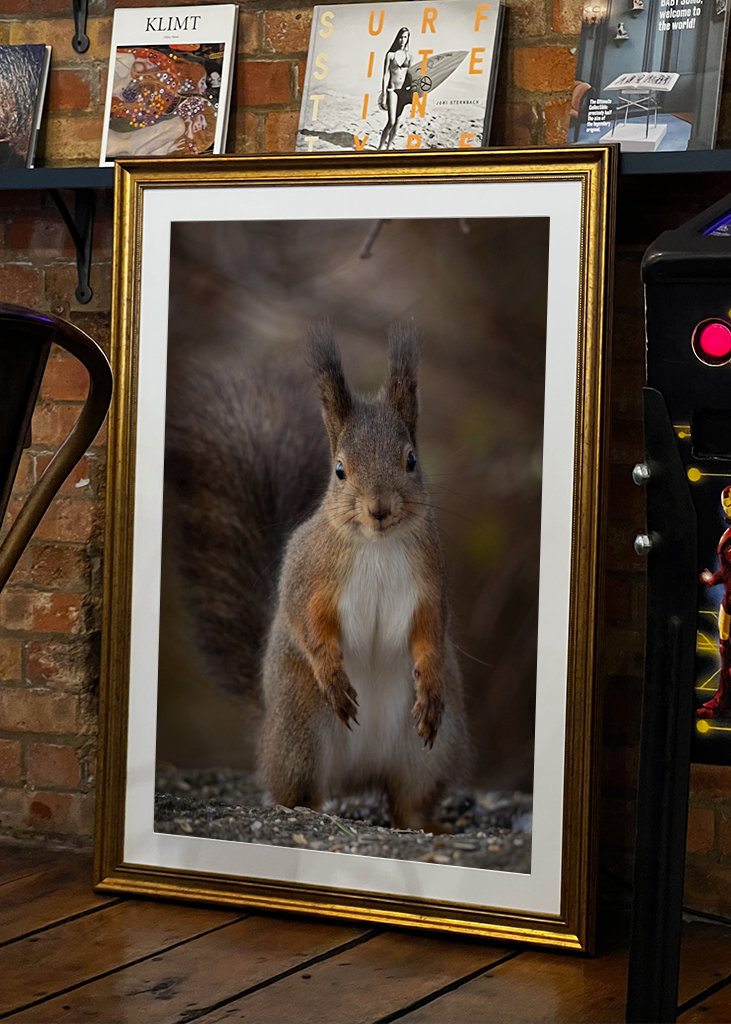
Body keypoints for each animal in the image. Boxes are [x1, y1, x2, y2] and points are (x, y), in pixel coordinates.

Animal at [258, 321, 468, 829]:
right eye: (339, 470)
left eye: (411, 460)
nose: (379, 508)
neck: (377, 545)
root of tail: (360, 773)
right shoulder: (310, 575)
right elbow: (308, 622)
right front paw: (333, 674)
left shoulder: (429, 583)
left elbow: (431, 632)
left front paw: (430, 683)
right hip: (300, 729)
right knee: (301, 790)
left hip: (431, 750)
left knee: (408, 799)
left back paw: (425, 824)